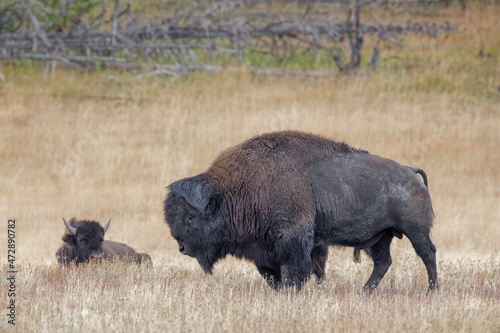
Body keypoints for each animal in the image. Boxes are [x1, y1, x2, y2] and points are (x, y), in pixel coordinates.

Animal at [164, 130, 438, 290]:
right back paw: (364, 292)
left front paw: (292, 290)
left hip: (415, 230)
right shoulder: (265, 249)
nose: (182, 248)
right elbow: (273, 273)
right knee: (383, 262)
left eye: (191, 217)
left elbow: (295, 270)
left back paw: (432, 289)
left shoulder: (293, 238)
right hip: (381, 237)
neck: (237, 190)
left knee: (427, 254)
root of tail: (410, 171)